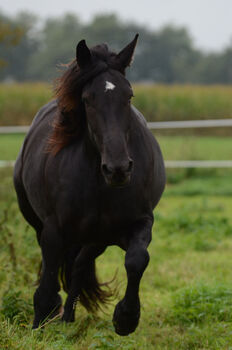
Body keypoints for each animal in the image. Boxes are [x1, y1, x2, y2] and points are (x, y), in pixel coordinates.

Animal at [14, 35, 165, 336]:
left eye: (129, 96)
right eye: (86, 99)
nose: (118, 169)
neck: (98, 183)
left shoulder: (139, 222)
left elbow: (137, 260)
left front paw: (126, 318)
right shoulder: (53, 229)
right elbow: (48, 280)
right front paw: (39, 326)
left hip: (97, 239)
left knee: (80, 266)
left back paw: (69, 317)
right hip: (42, 225)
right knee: (58, 268)